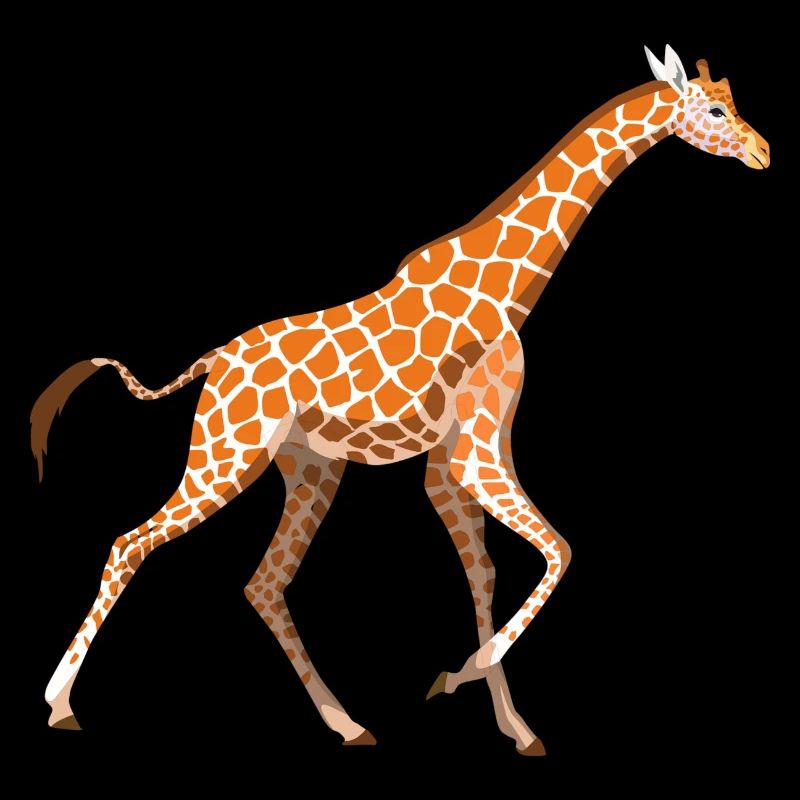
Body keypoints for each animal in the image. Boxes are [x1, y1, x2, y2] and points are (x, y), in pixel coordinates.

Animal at [33, 45, 769, 754]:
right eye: (712, 108)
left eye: (733, 97)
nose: (763, 152)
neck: (509, 290)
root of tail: (215, 361)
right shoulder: (475, 455)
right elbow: (557, 551)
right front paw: (454, 679)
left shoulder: (450, 463)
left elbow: (485, 574)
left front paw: (514, 727)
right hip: (227, 452)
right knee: (132, 542)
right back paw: (60, 703)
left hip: (310, 468)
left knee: (264, 583)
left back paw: (348, 724)